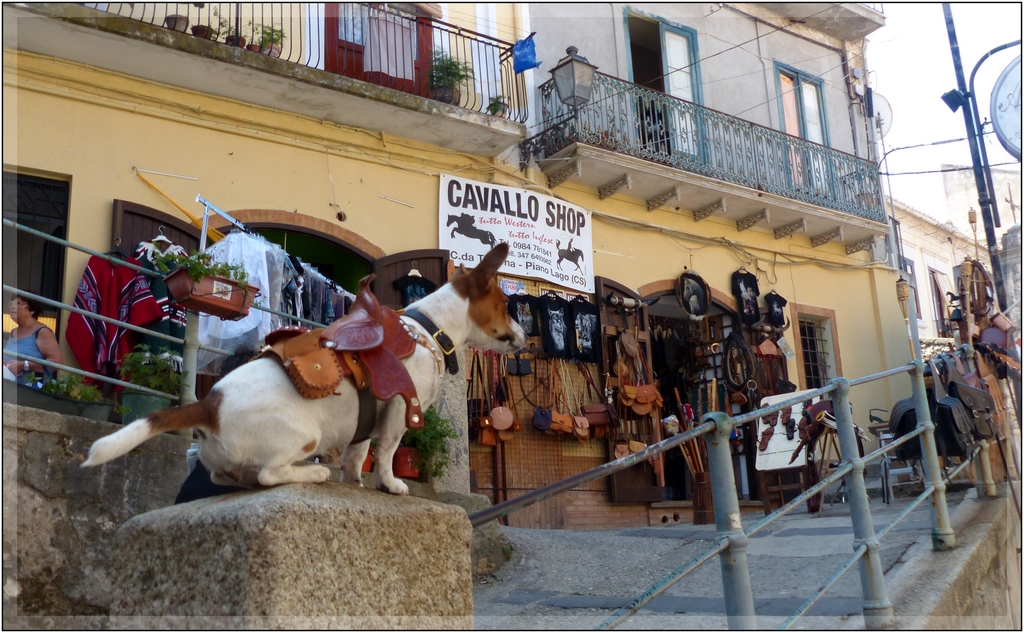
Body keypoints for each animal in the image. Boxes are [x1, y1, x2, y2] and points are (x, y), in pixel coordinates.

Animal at [82, 243, 524, 495]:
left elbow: (357, 455)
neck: (428, 329)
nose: (524, 334)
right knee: (268, 475)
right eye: (506, 304)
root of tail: (210, 405)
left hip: (226, 461)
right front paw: (391, 484)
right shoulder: (400, 409)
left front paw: (357, 482)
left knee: (226, 478)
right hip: (305, 435)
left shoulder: (367, 420)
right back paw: (313, 475)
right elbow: (386, 453)